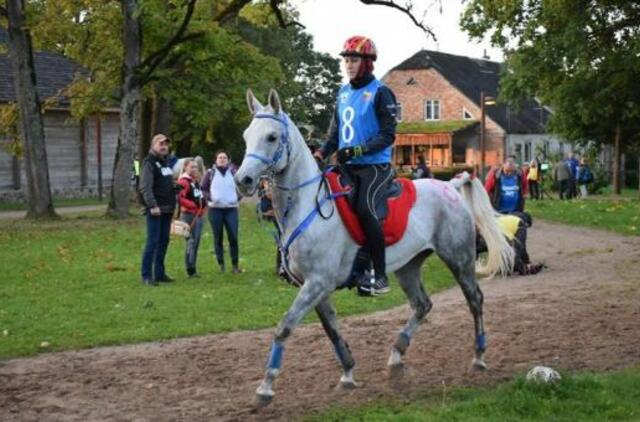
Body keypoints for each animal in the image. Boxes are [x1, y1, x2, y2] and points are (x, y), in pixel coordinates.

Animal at [235, 88, 516, 406]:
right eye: (246, 135)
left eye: (271, 137)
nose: (243, 180)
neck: (308, 204)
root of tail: (450, 186)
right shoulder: (315, 287)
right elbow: (332, 331)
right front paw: (347, 374)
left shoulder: (317, 283)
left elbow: (284, 328)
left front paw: (265, 388)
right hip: (409, 266)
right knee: (423, 304)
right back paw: (396, 356)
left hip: (459, 259)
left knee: (475, 300)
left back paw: (478, 357)